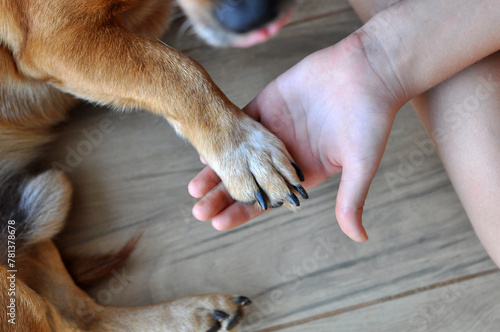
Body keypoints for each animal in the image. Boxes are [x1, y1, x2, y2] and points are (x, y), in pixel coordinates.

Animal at [0, 0, 308, 330]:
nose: (255, 17)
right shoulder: (58, 39)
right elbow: (179, 70)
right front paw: (245, 149)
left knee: (82, 314)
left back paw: (195, 314)